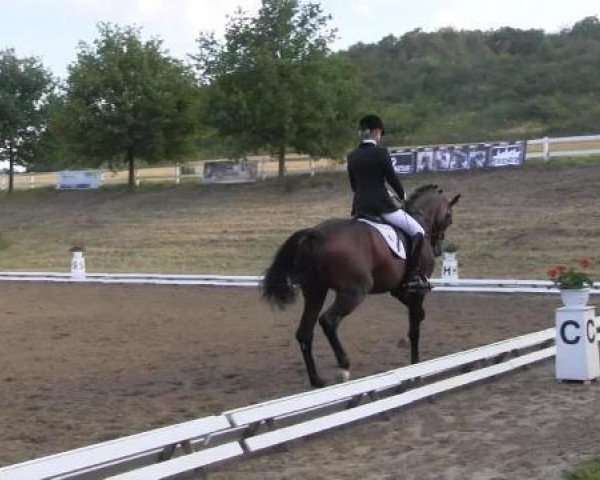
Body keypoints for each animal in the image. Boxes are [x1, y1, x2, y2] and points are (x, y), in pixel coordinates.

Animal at [262, 186, 460, 388]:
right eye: (449, 217)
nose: (438, 249)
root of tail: (316, 235)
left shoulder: (399, 290)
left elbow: (418, 315)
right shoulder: (417, 290)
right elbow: (414, 328)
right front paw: (415, 369)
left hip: (315, 292)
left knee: (304, 332)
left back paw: (317, 380)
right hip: (354, 292)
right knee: (328, 321)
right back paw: (343, 366)